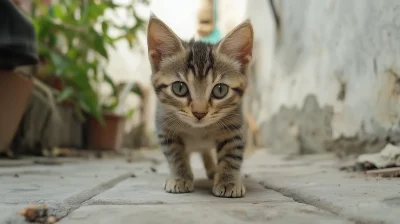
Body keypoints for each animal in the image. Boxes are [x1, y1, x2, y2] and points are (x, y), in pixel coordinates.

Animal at [147, 13, 253, 198]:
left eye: (220, 90)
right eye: (179, 88)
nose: (199, 113)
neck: (199, 131)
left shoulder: (235, 126)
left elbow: (231, 154)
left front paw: (228, 181)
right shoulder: (165, 128)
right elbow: (176, 155)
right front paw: (180, 177)